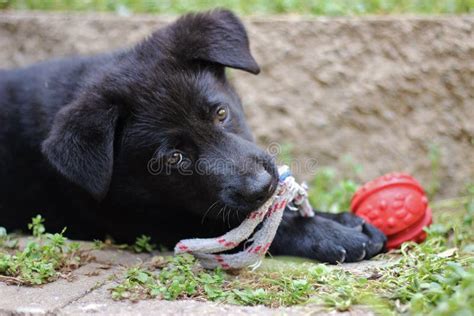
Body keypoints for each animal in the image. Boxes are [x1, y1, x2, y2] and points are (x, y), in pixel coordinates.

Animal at [0, 9, 386, 262]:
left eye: (221, 113)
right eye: (175, 157)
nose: (262, 186)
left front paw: (340, 218)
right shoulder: (143, 221)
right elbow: (239, 226)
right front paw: (332, 235)